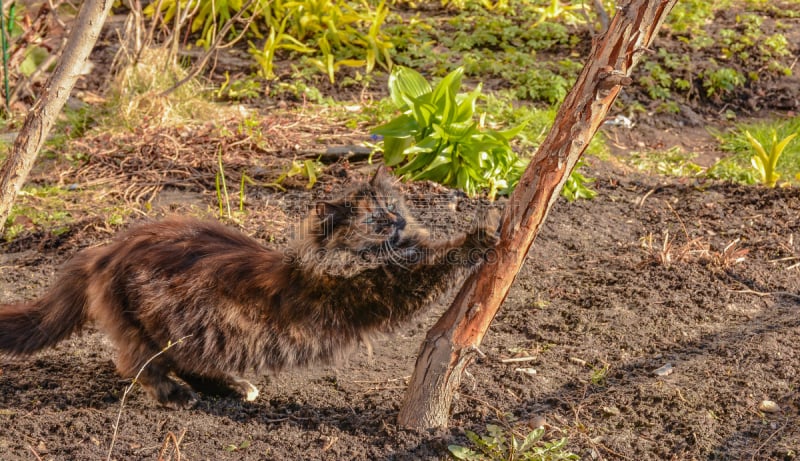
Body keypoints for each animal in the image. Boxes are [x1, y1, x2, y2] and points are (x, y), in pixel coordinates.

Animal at [0, 167, 496, 408]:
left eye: (393, 206)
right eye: (374, 220)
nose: (395, 221)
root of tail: (106, 250)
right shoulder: (381, 290)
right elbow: (432, 264)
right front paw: (478, 237)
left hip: (193, 333)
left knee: (186, 363)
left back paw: (237, 388)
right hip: (146, 328)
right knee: (139, 365)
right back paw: (178, 396)